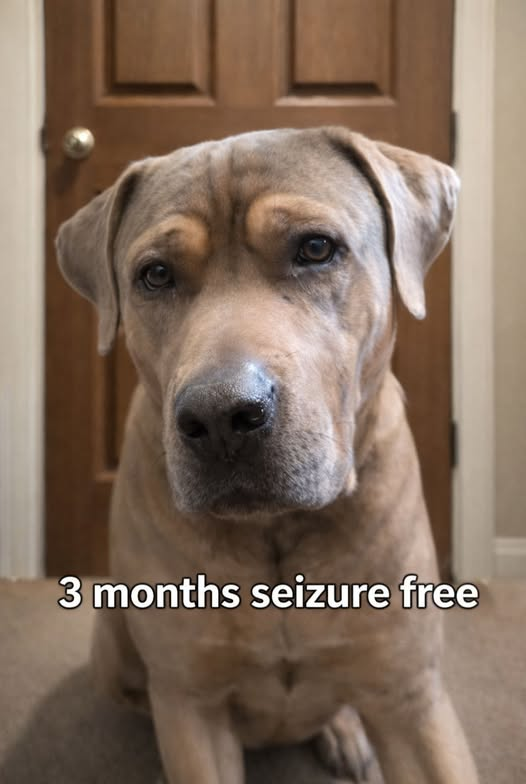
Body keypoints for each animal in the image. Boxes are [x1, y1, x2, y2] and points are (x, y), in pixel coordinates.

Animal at [56, 127, 479, 784]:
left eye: (316, 248)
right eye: (155, 275)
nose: (221, 416)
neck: (274, 528)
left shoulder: (411, 696)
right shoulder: (192, 705)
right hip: (113, 647)